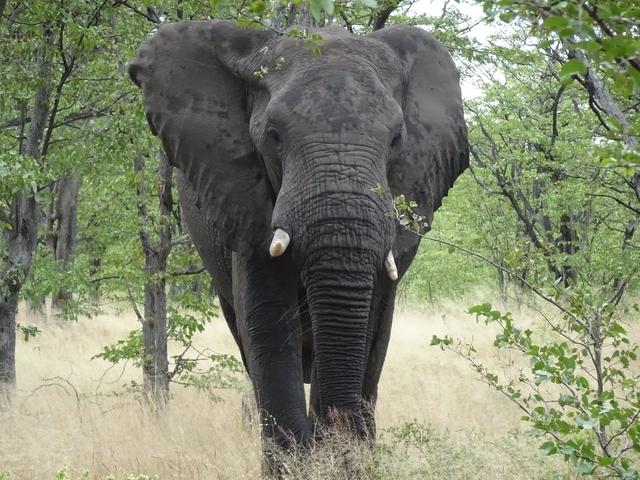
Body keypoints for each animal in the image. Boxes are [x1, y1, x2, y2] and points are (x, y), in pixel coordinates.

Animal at [129, 19, 468, 469]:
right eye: (273, 136)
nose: (341, 445)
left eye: (397, 139)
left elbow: (367, 327)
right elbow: (268, 324)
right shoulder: (246, 201)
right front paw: (298, 463)